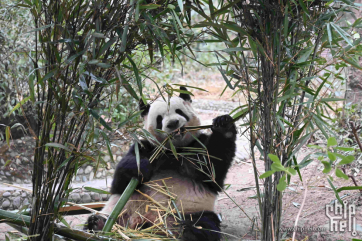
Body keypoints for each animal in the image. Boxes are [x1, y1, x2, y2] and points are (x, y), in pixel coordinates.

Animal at [85, 87, 238, 241]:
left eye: (179, 111)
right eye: (159, 119)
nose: (173, 123)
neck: (174, 150)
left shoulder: (197, 147)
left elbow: (213, 173)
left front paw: (223, 125)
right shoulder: (146, 147)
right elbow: (119, 182)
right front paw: (141, 168)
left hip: (190, 210)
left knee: (204, 223)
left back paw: (189, 231)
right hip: (121, 210)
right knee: (105, 218)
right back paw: (97, 224)